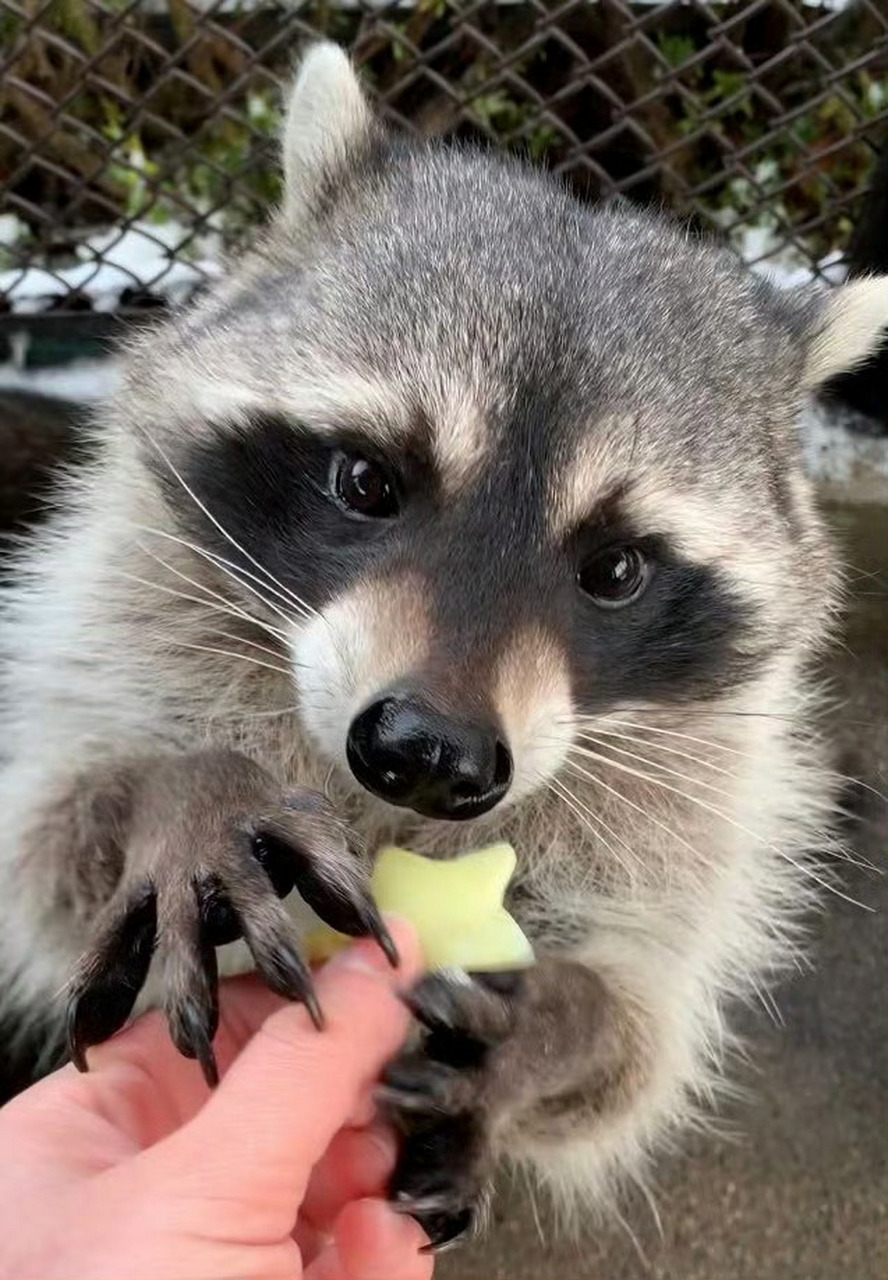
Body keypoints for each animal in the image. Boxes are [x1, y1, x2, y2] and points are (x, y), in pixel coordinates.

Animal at [1, 42, 888, 1249]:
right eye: (367, 480)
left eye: (616, 569)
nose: (427, 750)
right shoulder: (107, 617)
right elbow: (51, 840)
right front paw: (188, 785)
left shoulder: (703, 809)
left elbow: (638, 1042)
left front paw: (562, 1023)